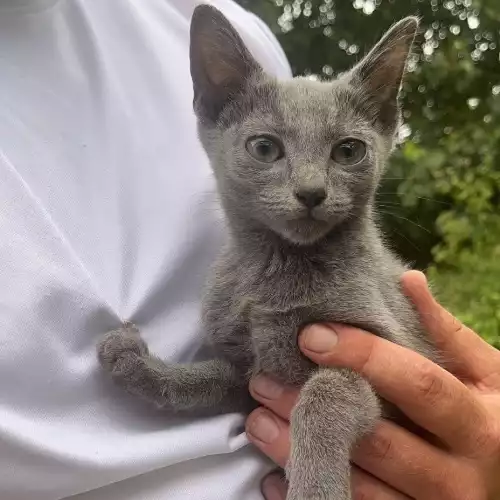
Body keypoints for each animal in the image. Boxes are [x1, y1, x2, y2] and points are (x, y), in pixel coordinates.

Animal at [97, 5, 438, 498]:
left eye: (348, 150)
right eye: (264, 147)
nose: (312, 192)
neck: (277, 272)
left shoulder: (392, 358)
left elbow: (326, 393)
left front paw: (316, 487)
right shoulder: (249, 376)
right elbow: (208, 379)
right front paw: (143, 367)